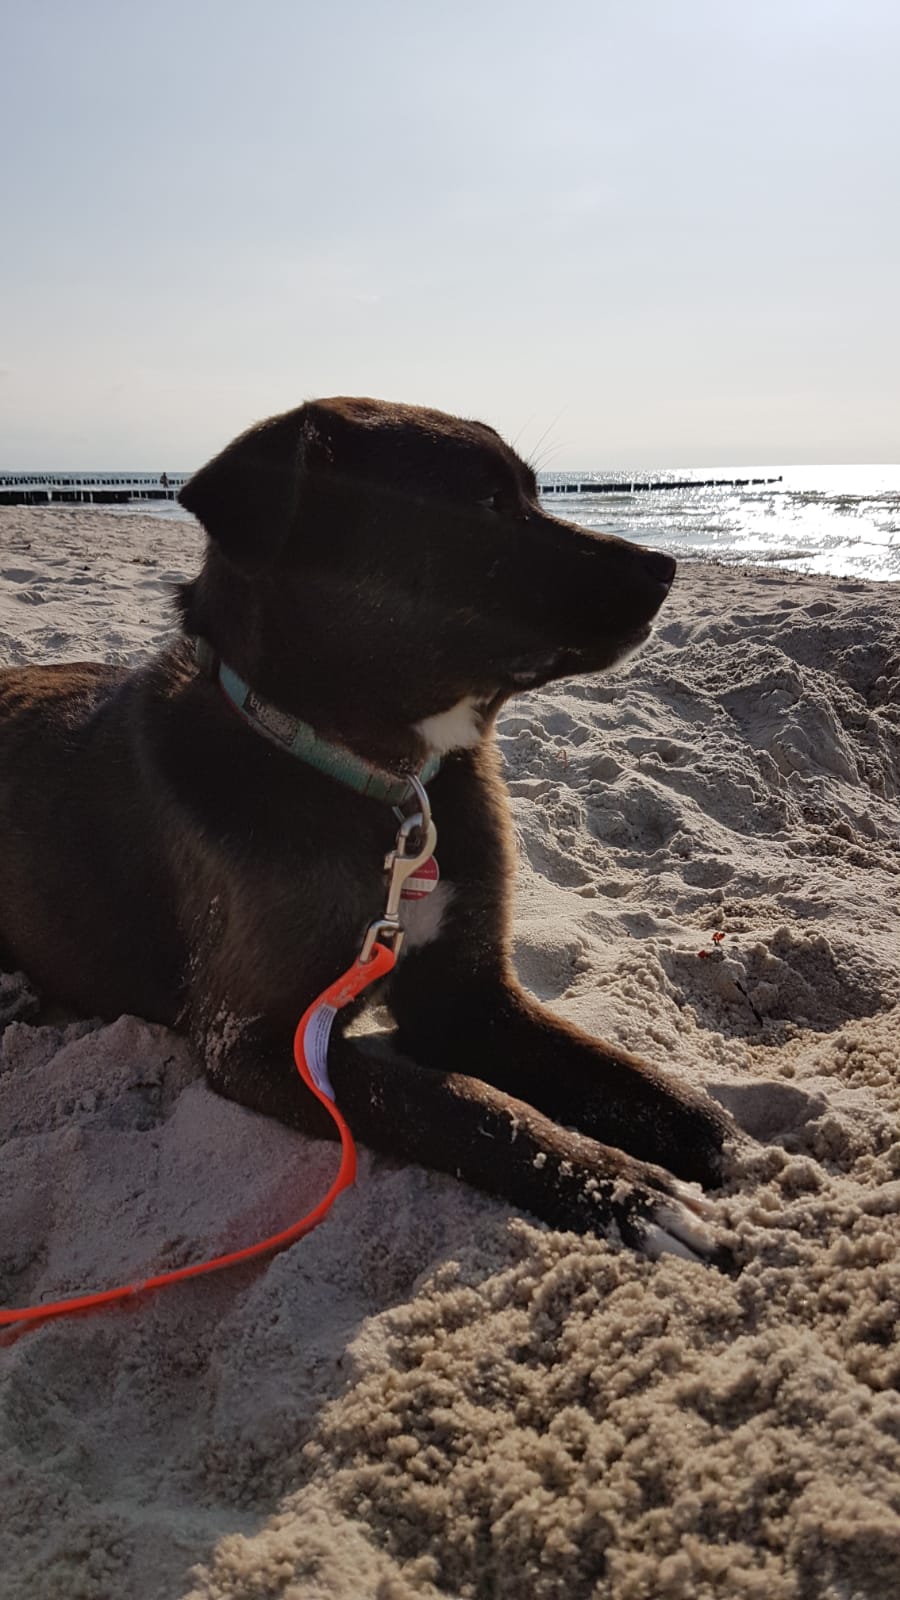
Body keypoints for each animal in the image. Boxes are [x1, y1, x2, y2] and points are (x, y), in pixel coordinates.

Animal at [0, 396, 736, 1260]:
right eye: (488, 503)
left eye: (533, 491)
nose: (668, 568)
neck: (381, 782)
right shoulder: (259, 1043)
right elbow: (462, 1105)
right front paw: (622, 1190)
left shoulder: (470, 994)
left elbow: (633, 1083)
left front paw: (715, 1142)